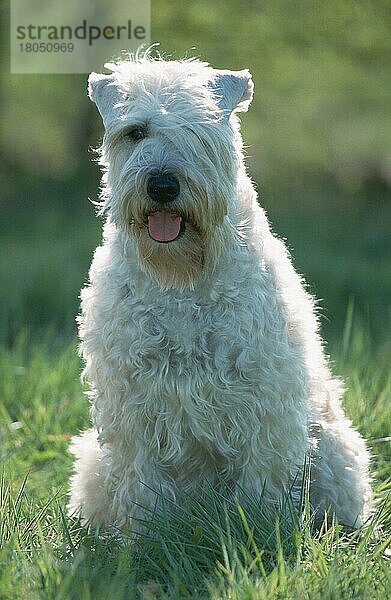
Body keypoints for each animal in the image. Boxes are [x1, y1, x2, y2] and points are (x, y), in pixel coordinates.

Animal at [68, 51, 374, 528]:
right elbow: (141, 484)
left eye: (200, 127)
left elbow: (261, 481)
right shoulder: (133, 403)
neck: (182, 280)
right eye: (136, 131)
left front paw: (257, 527)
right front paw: (141, 536)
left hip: (334, 450)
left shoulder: (262, 402)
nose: (162, 185)